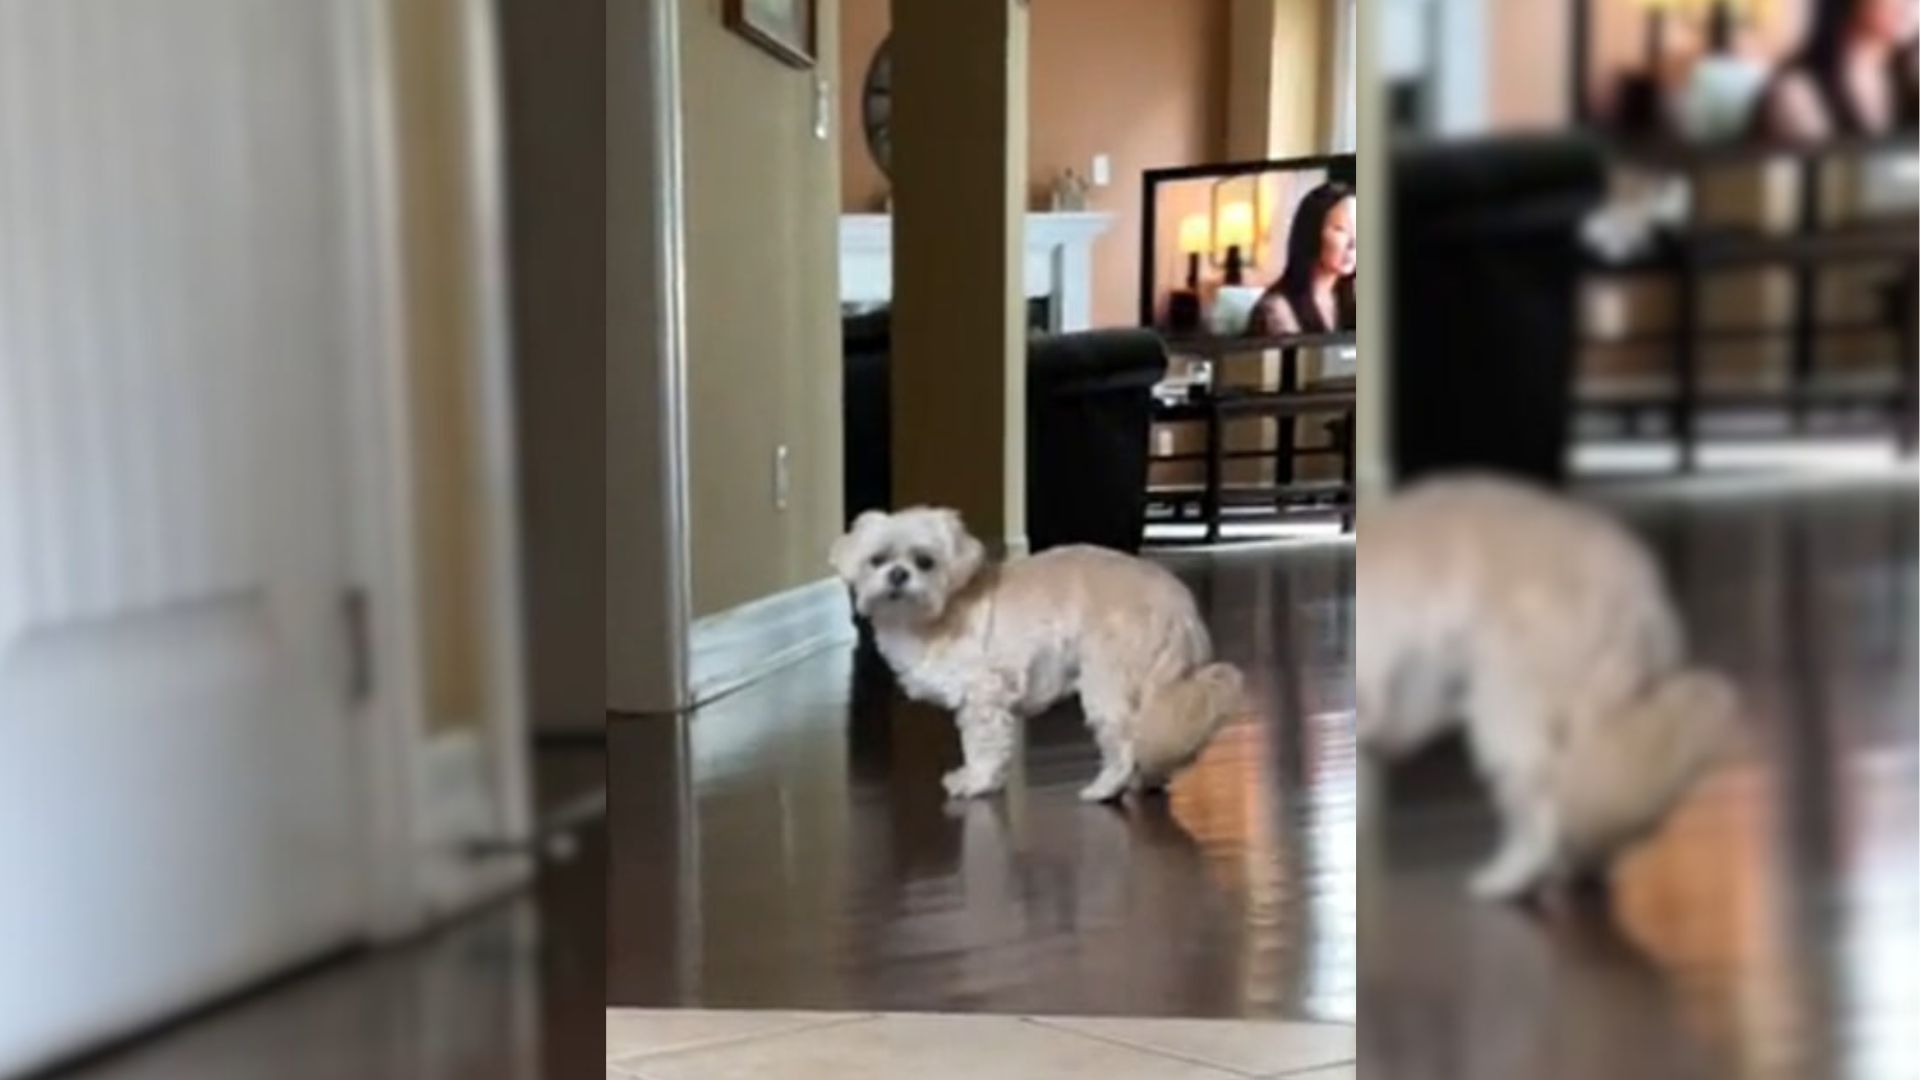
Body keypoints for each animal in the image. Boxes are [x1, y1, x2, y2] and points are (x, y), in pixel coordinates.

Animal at [829, 507, 1244, 799]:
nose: (898, 575)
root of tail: (1179, 607)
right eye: (877, 560)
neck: (936, 612)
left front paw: (975, 781)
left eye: (925, 562)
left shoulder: (983, 695)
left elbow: (981, 745)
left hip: (1108, 682)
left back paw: (1105, 789)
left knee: (1125, 744)